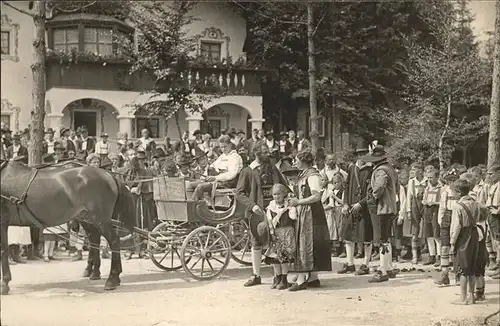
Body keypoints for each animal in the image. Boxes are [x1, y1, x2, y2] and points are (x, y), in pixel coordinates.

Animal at [0, 159, 136, 294]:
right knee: (95, 239)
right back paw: (96, 273)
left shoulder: (2, 222)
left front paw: (4, 284)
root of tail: (108, 175)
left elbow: (3, 250)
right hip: (87, 217)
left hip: (100, 219)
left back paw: (112, 278)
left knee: (114, 241)